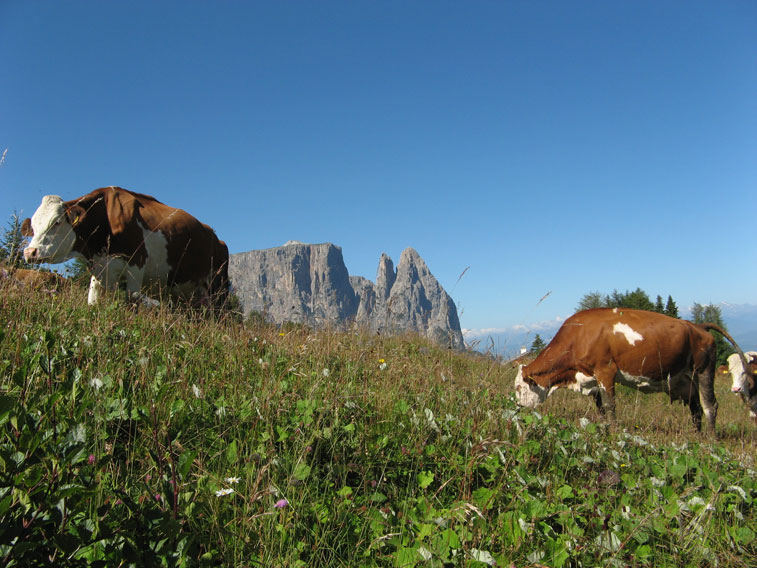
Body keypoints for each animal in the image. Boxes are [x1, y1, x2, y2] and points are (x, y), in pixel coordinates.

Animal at [22, 189, 229, 308]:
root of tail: (218, 239)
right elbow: (92, 301)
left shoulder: (136, 266)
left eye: (56, 222)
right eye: (33, 226)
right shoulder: (101, 269)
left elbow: (132, 300)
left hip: (217, 286)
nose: (29, 252)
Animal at [510, 308, 748, 432]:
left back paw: (710, 440)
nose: (518, 409)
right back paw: (696, 436)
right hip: (683, 380)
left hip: (704, 369)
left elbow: (610, 406)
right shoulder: (591, 379)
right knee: (695, 407)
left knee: (709, 406)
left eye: (519, 388)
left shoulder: (605, 371)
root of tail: (698, 326)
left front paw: (614, 433)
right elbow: (601, 408)